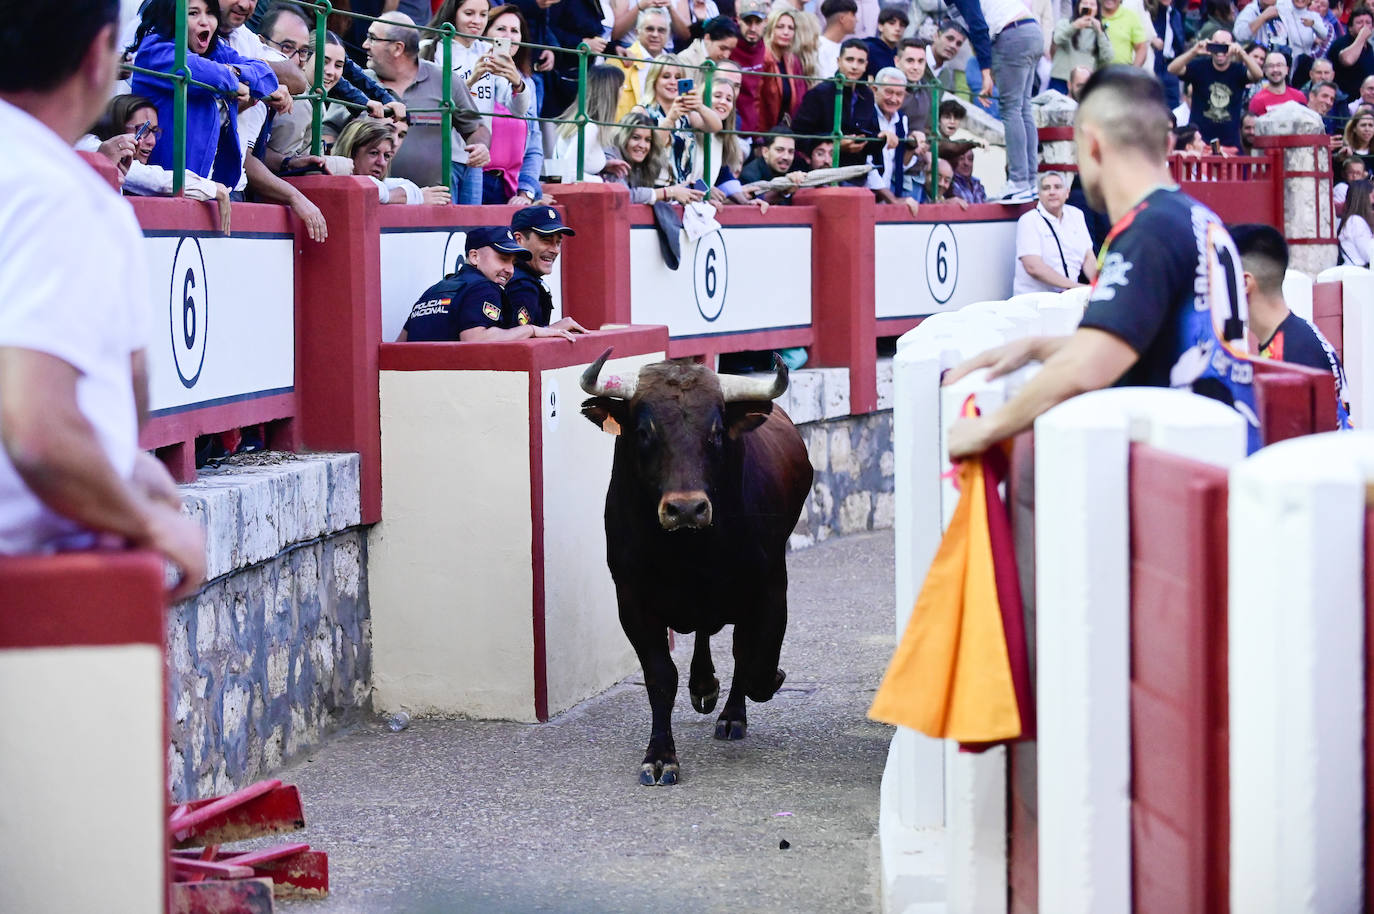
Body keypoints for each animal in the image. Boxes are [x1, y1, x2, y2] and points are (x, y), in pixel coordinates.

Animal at [579, 349, 813, 786]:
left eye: (716, 432)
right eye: (644, 431)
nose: (686, 508)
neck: (689, 552)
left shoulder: (771, 587)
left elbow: (755, 663)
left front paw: (766, 683)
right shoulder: (632, 599)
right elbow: (660, 677)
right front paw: (659, 757)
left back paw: (730, 714)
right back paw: (703, 684)